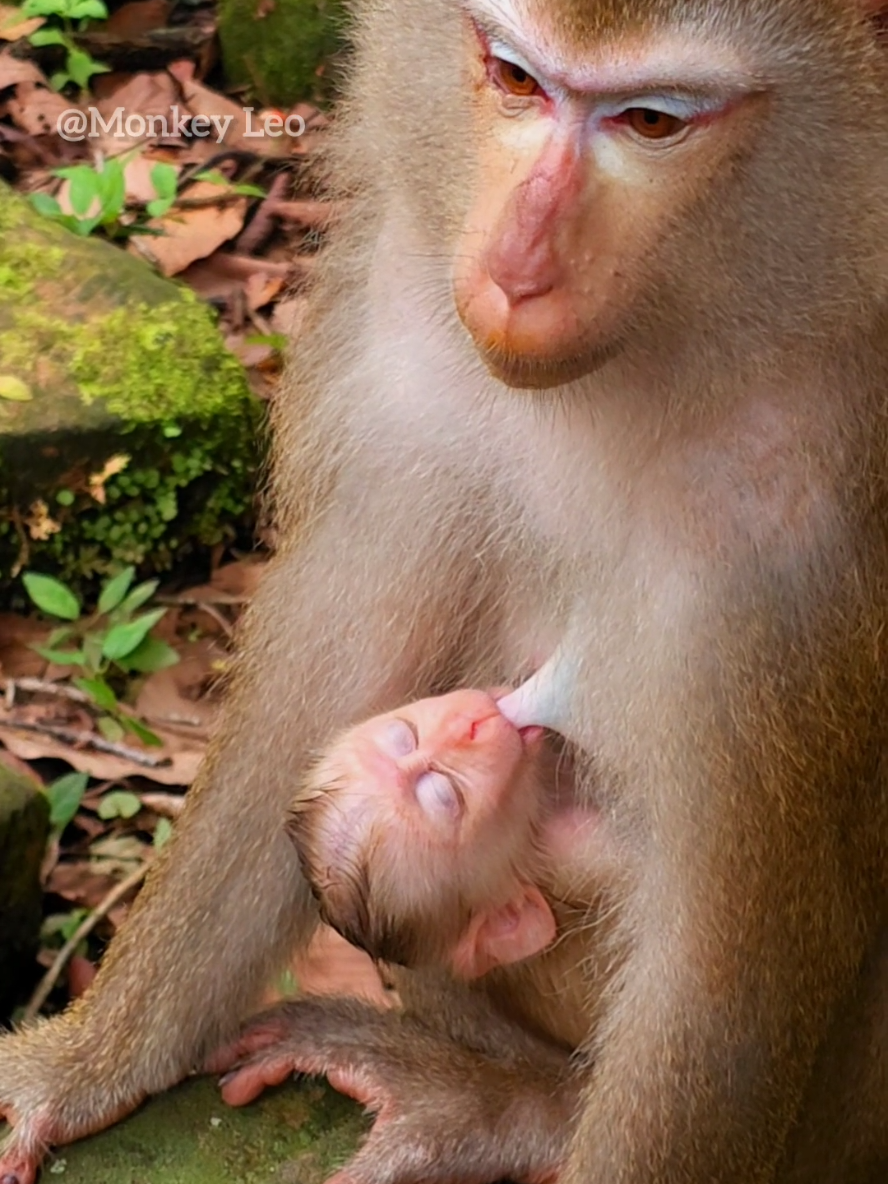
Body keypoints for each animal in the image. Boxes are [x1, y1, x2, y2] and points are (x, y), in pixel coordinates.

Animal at [3, 0, 888, 1182]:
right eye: (515, 79)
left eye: (651, 120)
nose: (516, 266)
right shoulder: (405, 356)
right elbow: (329, 686)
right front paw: (86, 1062)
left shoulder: (795, 537)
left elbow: (725, 970)